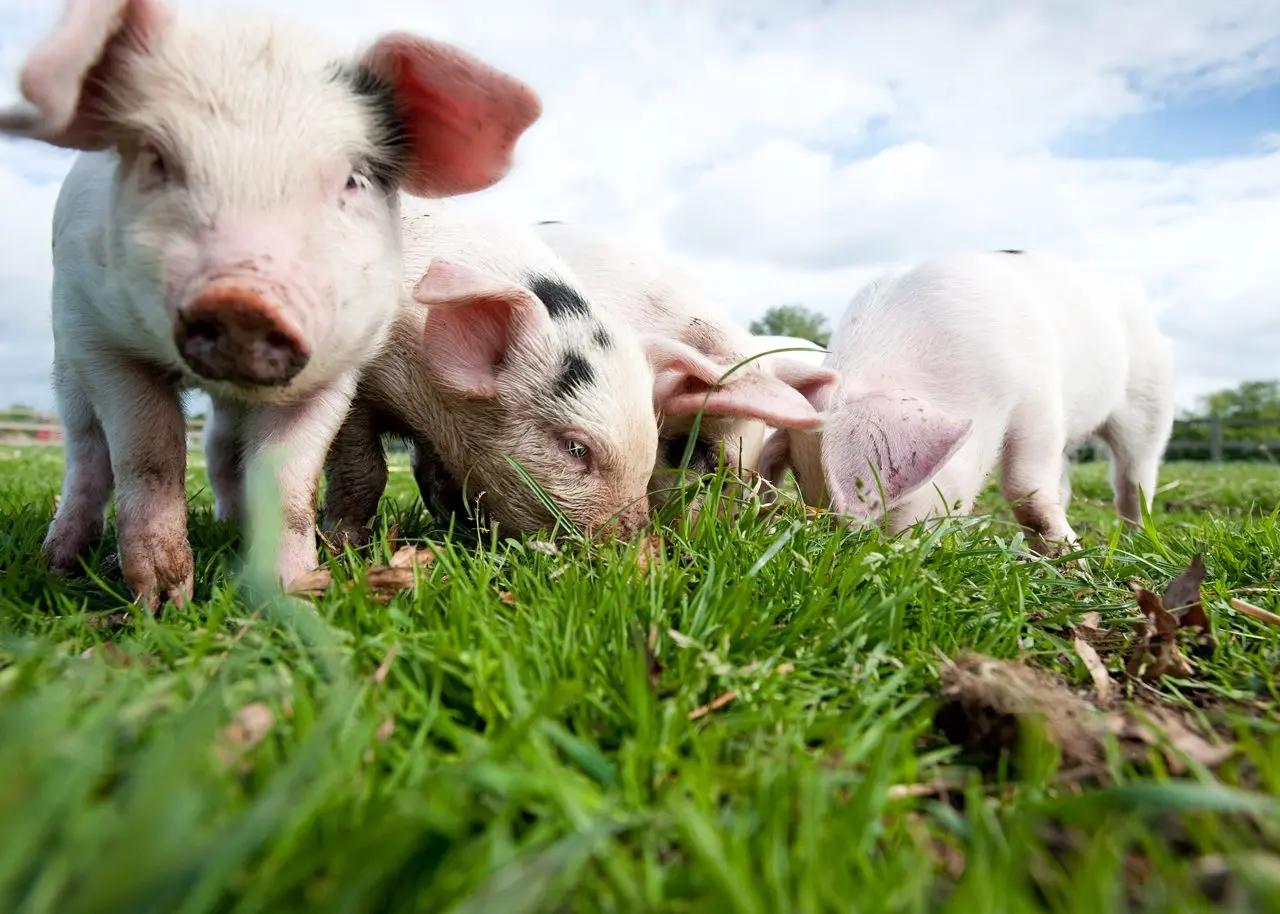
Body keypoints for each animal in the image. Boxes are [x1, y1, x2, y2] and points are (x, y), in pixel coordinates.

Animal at [1, 0, 541, 606]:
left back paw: (230, 526)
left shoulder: (339, 368)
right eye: (158, 160)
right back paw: (59, 563)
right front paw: (161, 603)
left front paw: (292, 595)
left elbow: (289, 480)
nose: (243, 300)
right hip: (65, 353)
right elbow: (150, 455)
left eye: (354, 179)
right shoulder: (98, 336)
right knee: (86, 451)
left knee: (217, 447)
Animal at [757, 250, 1176, 551]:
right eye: (800, 482)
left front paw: (1069, 553)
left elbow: (1026, 489)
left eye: (894, 501)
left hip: (1150, 398)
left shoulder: (1036, 397)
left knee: (1134, 475)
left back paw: (1137, 538)